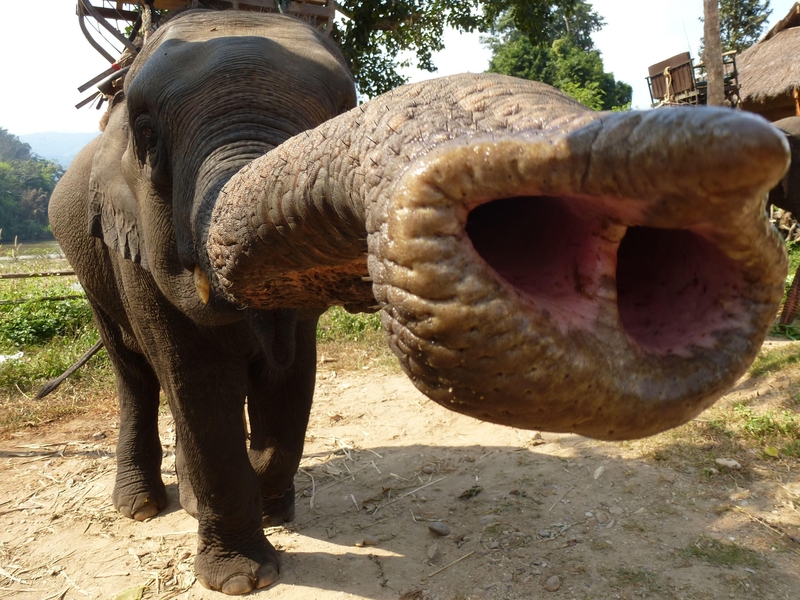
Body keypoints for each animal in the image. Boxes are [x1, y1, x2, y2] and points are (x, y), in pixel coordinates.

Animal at [48, 4, 788, 596]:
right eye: (147, 135)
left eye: (340, 108)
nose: (751, 155)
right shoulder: (129, 252)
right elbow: (197, 384)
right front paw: (242, 576)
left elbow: (293, 378)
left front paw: (274, 506)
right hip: (85, 266)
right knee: (134, 373)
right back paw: (142, 506)